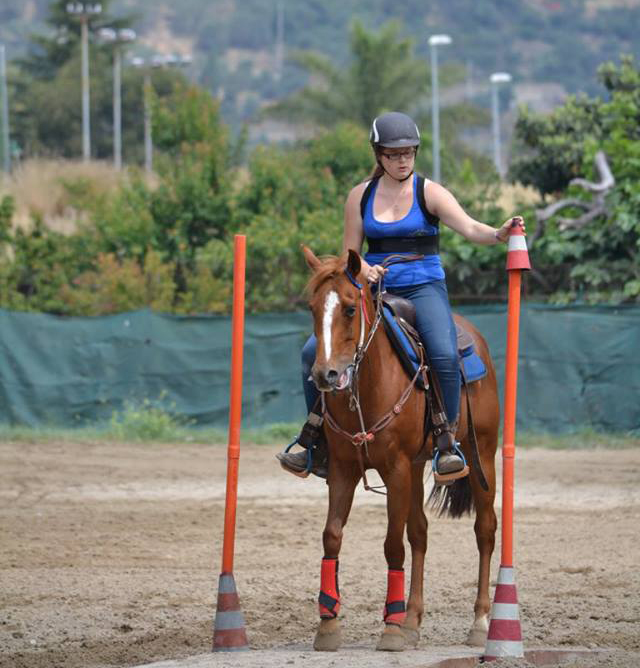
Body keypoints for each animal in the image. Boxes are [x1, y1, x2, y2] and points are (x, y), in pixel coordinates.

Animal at [302, 246, 500, 652]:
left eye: (349, 308)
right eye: (312, 307)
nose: (325, 375)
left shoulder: (395, 469)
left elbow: (393, 544)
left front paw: (390, 628)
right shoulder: (344, 469)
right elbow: (332, 536)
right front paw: (328, 624)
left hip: (482, 454)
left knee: (485, 530)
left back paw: (480, 622)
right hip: (417, 465)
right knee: (420, 534)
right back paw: (412, 620)